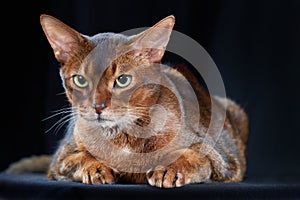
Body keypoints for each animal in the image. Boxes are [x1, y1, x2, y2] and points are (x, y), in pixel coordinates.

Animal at [5, 13, 248, 188]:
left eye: (122, 80)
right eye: (80, 80)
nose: (98, 107)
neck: (122, 139)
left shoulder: (224, 159)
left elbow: (194, 154)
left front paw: (169, 168)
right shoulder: (60, 159)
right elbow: (78, 158)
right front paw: (96, 168)